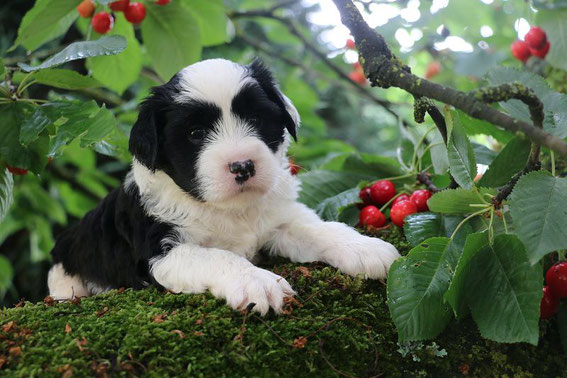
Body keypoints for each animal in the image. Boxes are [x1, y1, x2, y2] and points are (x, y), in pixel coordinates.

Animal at [48, 58, 402, 314]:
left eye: (256, 120)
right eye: (195, 134)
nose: (242, 166)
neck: (229, 210)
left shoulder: (277, 223)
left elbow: (316, 228)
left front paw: (363, 248)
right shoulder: (160, 252)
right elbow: (216, 256)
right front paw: (258, 282)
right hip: (64, 273)